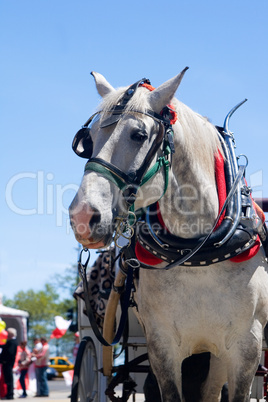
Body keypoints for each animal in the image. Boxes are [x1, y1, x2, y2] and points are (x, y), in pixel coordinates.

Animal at [68, 70, 268, 400]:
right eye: (90, 139)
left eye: (138, 135)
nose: (83, 216)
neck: (196, 254)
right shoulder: (161, 345)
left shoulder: (246, 345)